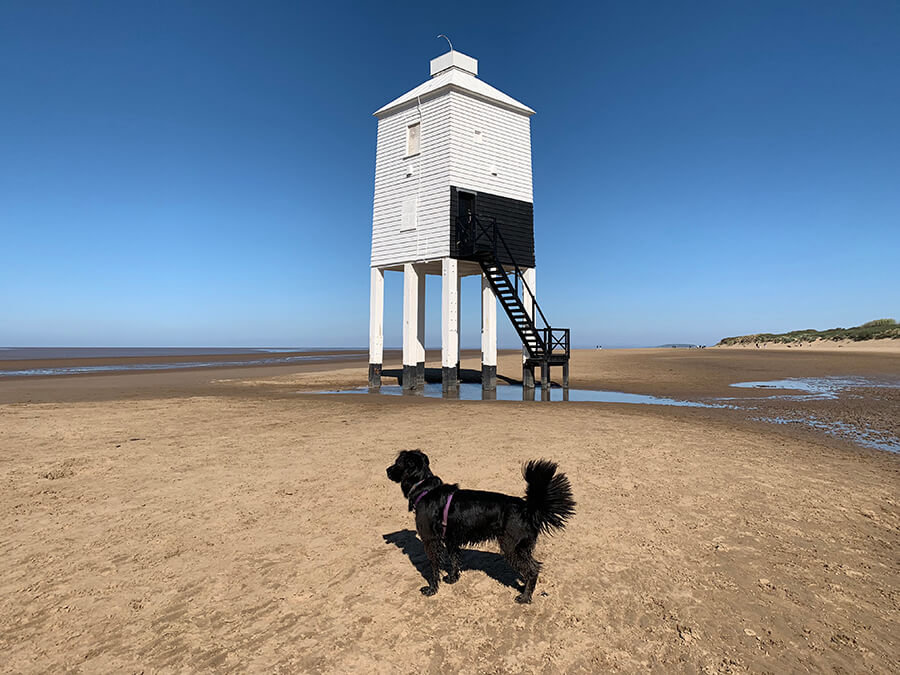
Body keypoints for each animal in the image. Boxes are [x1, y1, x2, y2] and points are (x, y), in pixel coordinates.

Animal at [384, 454, 572, 604]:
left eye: (397, 463)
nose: (386, 470)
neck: (426, 489)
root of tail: (528, 507)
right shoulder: (451, 540)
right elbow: (454, 560)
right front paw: (453, 578)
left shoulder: (431, 541)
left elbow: (434, 567)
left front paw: (432, 589)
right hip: (522, 548)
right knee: (533, 567)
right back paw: (525, 588)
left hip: (511, 548)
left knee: (532, 570)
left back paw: (525, 598)